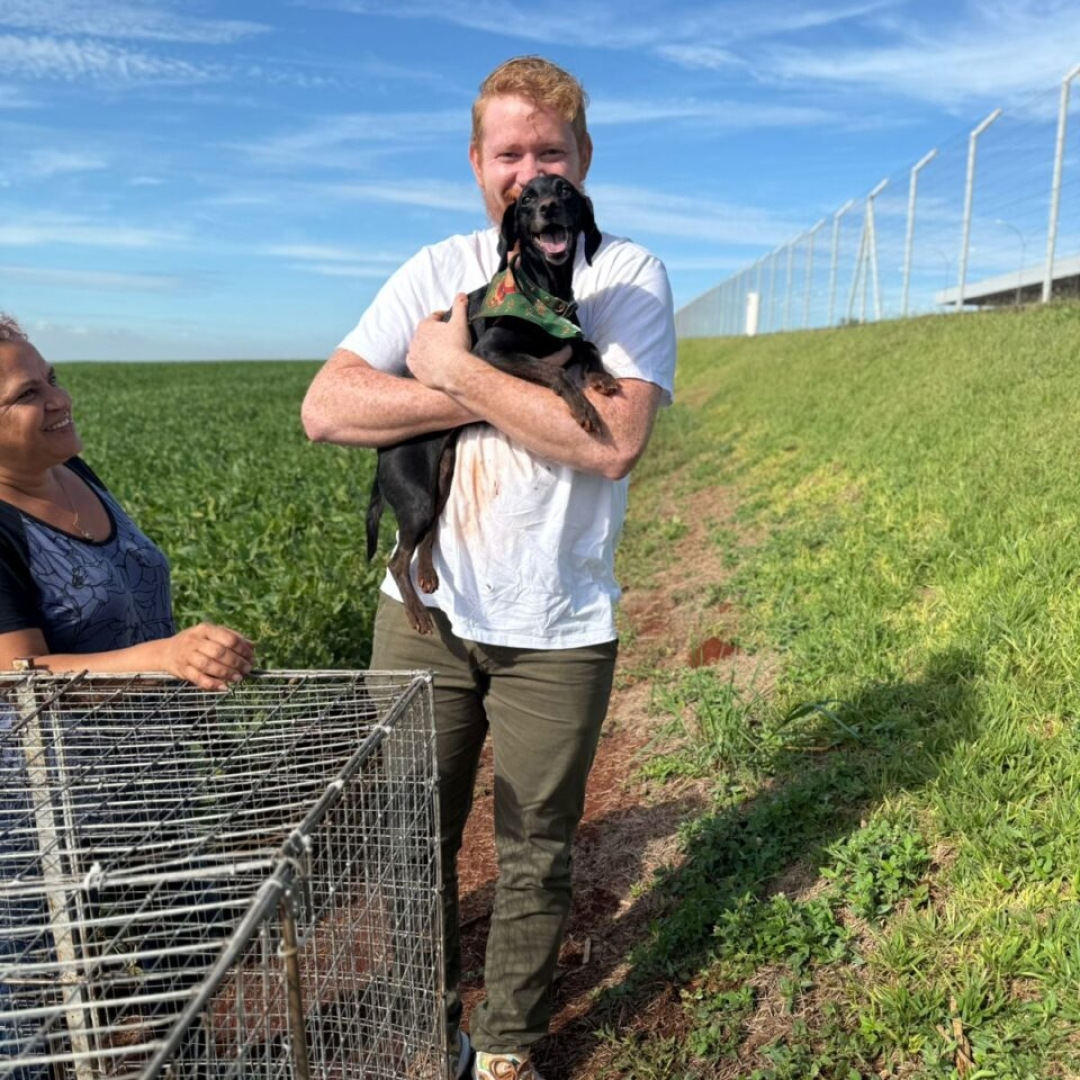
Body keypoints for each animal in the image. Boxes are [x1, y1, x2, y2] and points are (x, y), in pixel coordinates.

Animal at [367, 173, 617, 630]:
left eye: (565, 190)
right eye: (527, 199)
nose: (548, 207)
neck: (544, 293)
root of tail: (380, 455)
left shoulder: (570, 337)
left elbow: (588, 346)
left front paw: (602, 379)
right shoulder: (492, 351)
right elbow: (556, 373)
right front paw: (584, 409)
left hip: (441, 481)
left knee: (428, 537)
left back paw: (428, 574)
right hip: (415, 496)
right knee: (396, 559)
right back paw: (418, 613)